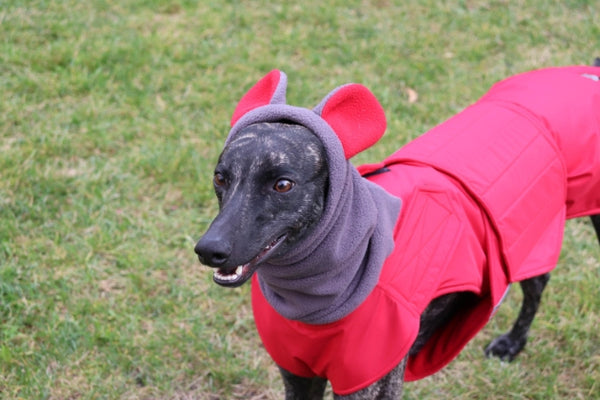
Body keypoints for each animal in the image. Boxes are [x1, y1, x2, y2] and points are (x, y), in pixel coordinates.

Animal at [196, 61, 600, 398]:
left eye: (283, 184)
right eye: (220, 177)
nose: (209, 249)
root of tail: (587, 70)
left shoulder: (370, 382)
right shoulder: (298, 373)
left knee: (537, 285)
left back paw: (512, 343)